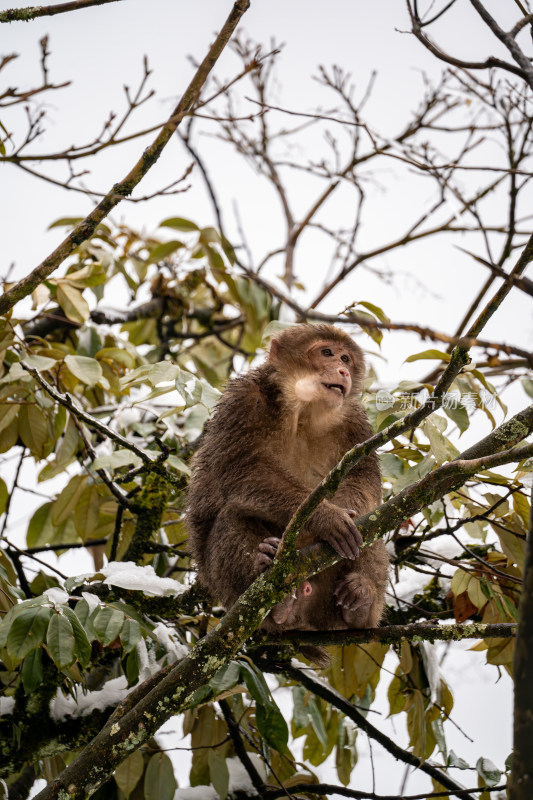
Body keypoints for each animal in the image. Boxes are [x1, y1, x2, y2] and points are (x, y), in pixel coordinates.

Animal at [187, 324, 386, 636]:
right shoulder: (243, 401)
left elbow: (364, 480)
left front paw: (342, 508)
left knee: (373, 525)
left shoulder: (356, 422)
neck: (304, 413)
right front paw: (327, 517)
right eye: (326, 352)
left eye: (345, 358)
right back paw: (271, 587)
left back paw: (361, 601)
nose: (343, 371)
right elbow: (244, 472)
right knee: (231, 516)